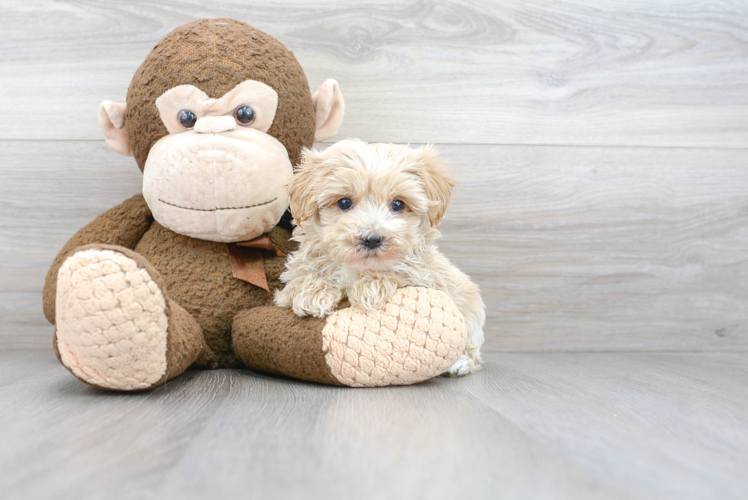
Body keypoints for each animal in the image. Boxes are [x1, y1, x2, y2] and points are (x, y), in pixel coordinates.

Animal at [276, 140, 486, 376]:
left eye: (398, 204)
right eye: (344, 202)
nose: (372, 239)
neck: (356, 267)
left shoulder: (425, 276)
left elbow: (400, 269)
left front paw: (369, 287)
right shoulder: (288, 284)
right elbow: (302, 277)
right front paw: (313, 293)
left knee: (473, 350)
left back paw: (460, 363)